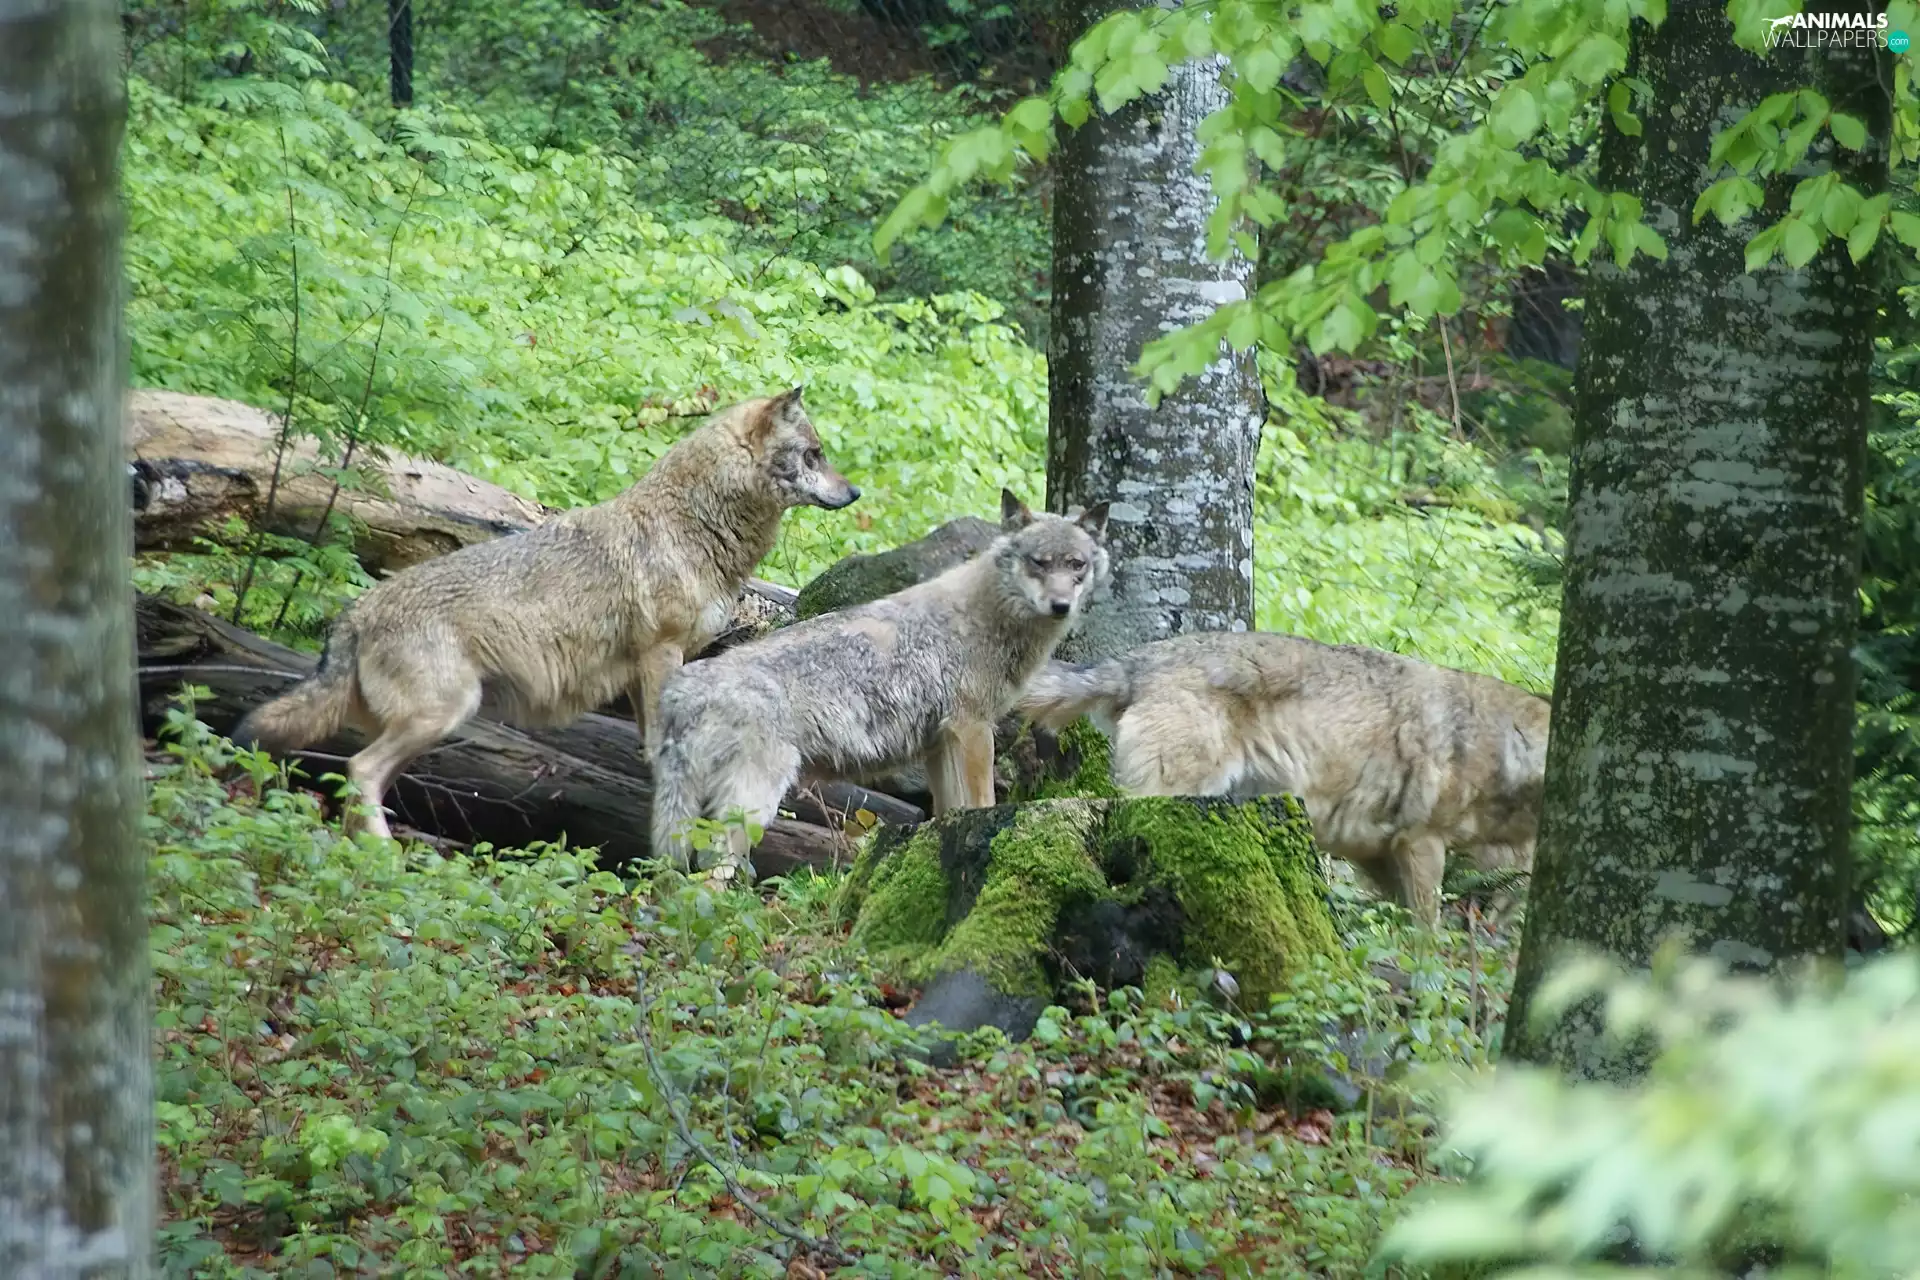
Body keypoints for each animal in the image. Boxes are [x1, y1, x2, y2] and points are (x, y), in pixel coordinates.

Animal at [233, 388, 858, 840]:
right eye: (815, 455)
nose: (853, 494)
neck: (694, 528)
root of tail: (356, 611)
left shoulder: (643, 666)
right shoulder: (661, 653)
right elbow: (664, 739)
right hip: (444, 713)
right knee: (359, 771)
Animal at [650, 489, 1110, 881]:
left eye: (1076, 565)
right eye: (1039, 562)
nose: (1061, 606)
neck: (986, 618)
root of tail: (680, 690)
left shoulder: (939, 745)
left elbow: (950, 812)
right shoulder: (974, 730)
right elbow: (984, 804)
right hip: (748, 809)